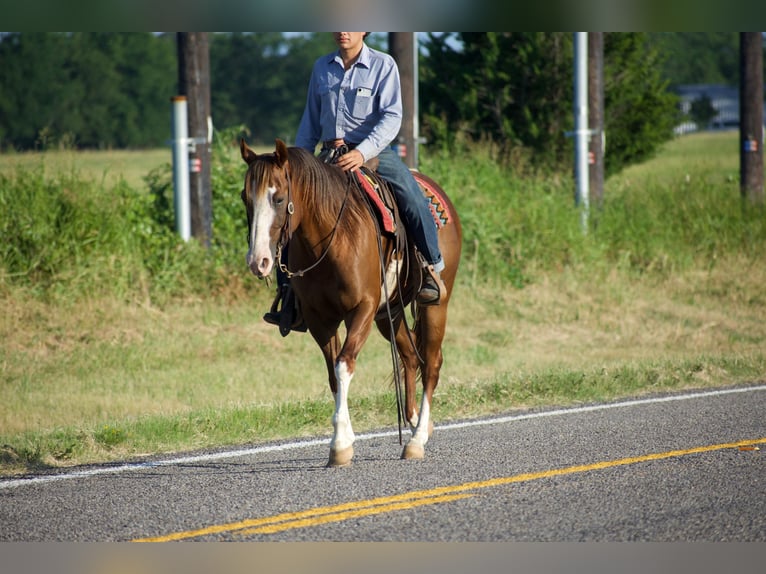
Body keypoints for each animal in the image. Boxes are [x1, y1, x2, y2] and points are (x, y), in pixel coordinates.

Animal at [240, 138, 462, 466]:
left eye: (278, 198)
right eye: (246, 198)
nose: (259, 261)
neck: (334, 235)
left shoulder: (363, 309)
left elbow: (344, 364)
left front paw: (341, 444)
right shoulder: (320, 319)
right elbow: (333, 374)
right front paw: (341, 440)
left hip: (434, 307)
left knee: (432, 363)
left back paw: (417, 438)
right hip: (389, 313)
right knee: (410, 357)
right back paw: (412, 421)